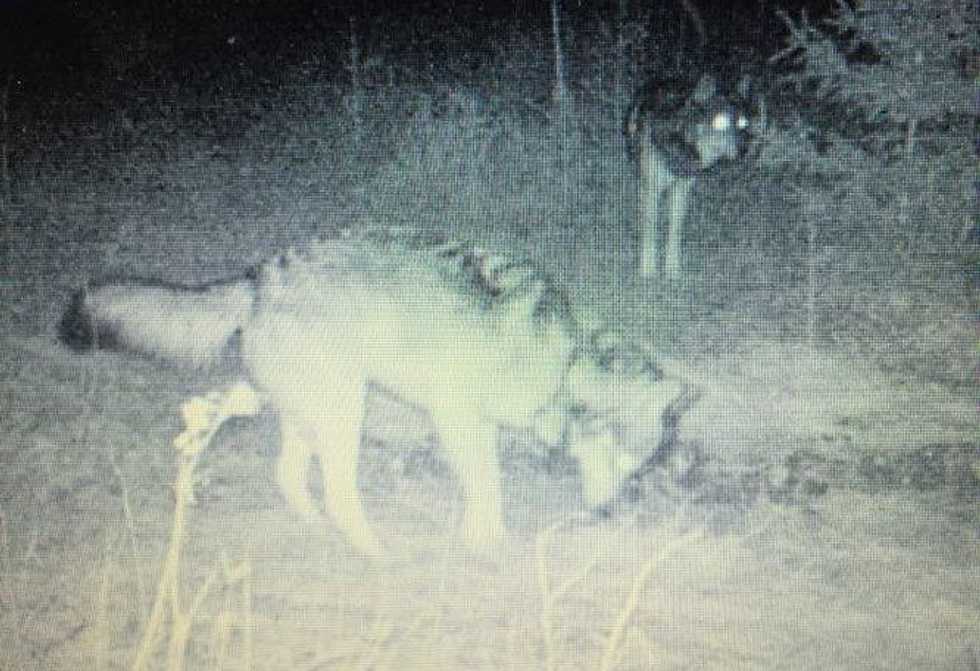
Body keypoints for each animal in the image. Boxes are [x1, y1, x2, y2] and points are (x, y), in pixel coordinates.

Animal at [59, 231, 686, 556]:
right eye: (623, 461)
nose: (608, 512)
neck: (565, 360)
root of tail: (261, 276)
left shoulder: (476, 425)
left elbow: (485, 486)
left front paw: (483, 533)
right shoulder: (456, 416)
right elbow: (487, 485)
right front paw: (486, 542)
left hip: (298, 409)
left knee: (279, 468)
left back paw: (303, 524)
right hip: (344, 415)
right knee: (338, 493)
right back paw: (372, 550)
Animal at [626, 73, 750, 280]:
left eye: (743, 123)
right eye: (720, 122)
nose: (744, 151)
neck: (682, 142)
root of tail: (665, 78)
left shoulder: (681, 188)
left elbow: (675, 229)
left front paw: (672, 268)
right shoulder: (652, 188)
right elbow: (650, 228)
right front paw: (648, 268)